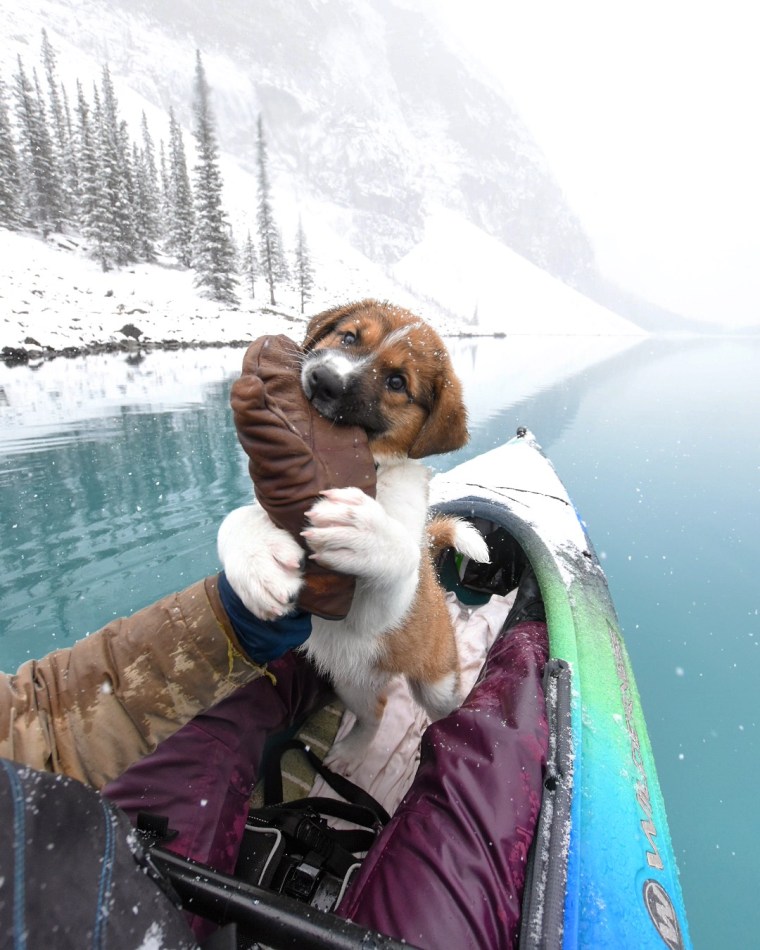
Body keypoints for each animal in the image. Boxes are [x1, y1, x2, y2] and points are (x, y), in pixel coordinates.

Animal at [220, 302, 490, 768]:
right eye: (348, 337)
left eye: (397, 382)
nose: (323, 379)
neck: (374, 472)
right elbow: (234, 521)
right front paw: (255, 558)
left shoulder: (378, 613)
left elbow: (401, 555)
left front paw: (365, 531)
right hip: (351, 682)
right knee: (375, 712)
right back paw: (352, 752)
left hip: (436, 683)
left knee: (444, 708)